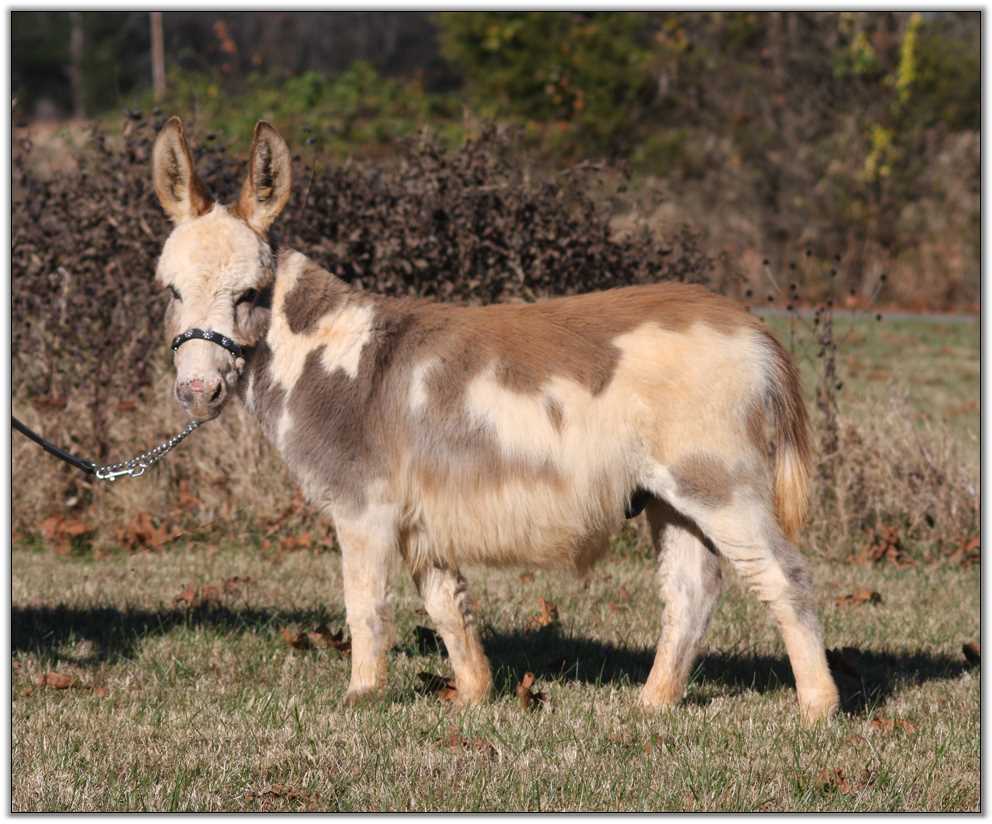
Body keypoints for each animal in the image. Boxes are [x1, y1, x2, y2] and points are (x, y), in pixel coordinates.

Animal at [152, 117, 840, 722]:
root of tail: (752, 328)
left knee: (786, 577)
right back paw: (653, 705)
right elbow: (446, 605)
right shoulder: (420, 518)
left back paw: (817, 709)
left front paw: (362, 699)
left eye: (249, 294)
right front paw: (474, 696)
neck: (323, 354)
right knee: (691, 593)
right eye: (171, 292)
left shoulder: (363, 510)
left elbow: (365, 605)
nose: (197, 392)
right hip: (671, 499)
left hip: (718, 484)